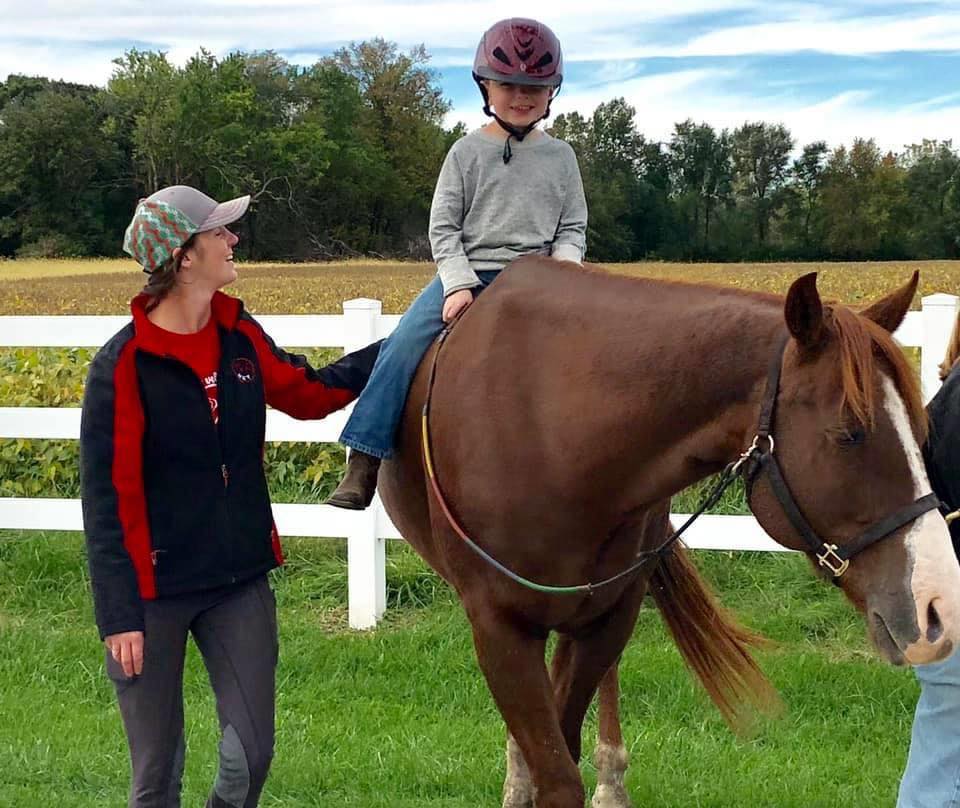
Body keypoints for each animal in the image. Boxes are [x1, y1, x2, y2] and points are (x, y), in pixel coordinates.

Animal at [376, 260, 960, 808]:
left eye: (922, 431)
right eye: (849, 434)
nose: (940, 606)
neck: (549, 429)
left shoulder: (605, 619)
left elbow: (564, 746)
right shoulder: (499, 628)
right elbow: (555, 774)